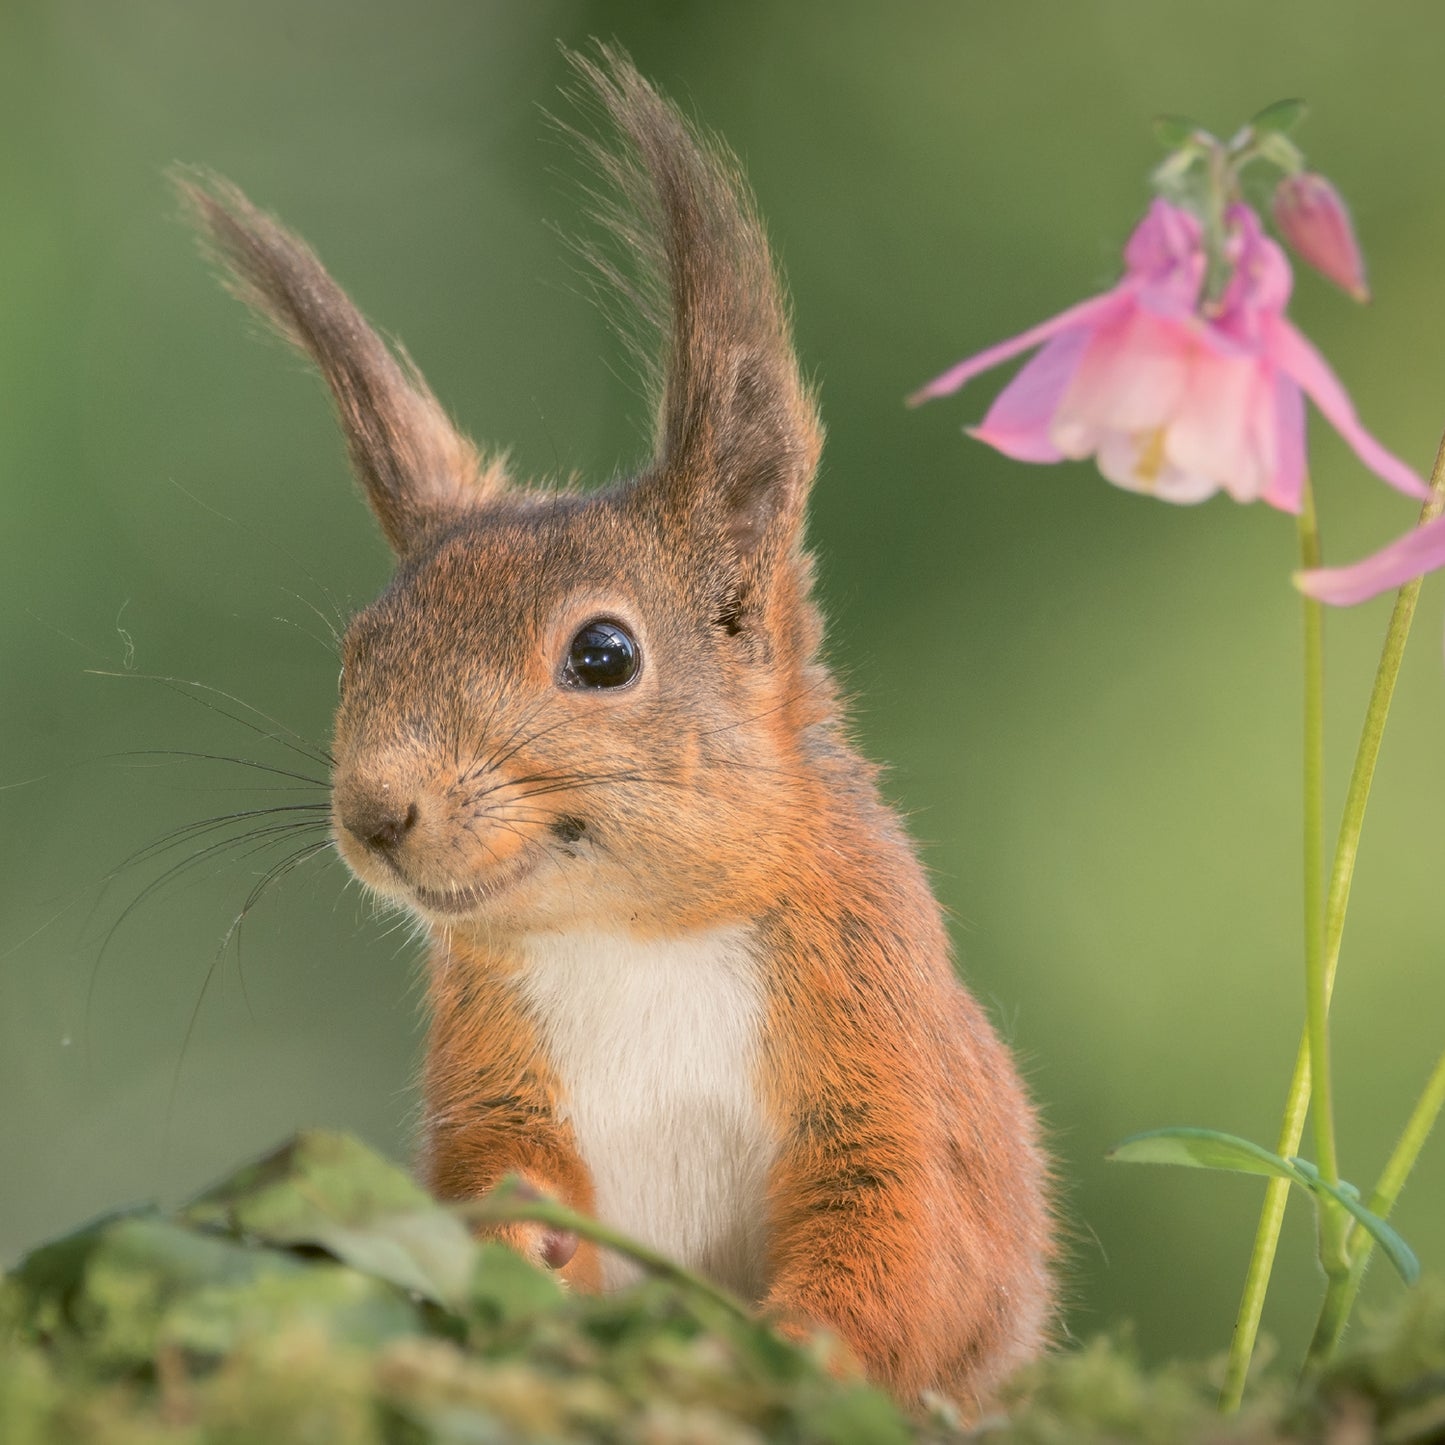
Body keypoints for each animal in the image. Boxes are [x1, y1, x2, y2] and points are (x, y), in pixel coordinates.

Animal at [183, 48, 1051, 1410]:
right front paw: (518, 1235)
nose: (374, 812)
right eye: (360, 646)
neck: (632, 933)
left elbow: (903, 1227)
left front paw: (796, 1339)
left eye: (603, 655)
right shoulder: (487, 1057)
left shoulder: (882, 1042)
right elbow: (493, 1163)